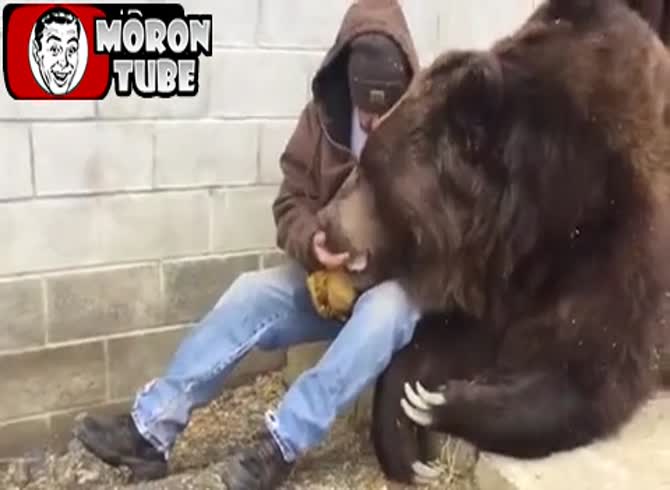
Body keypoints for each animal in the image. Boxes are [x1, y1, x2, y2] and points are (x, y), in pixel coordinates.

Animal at [316, 0, 670, 484]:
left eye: (370, 168)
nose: (325, 222)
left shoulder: (617, 241)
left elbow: (588, 372)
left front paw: (443, 402)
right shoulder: (496, 273)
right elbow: (452, 337)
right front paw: (407, 429)